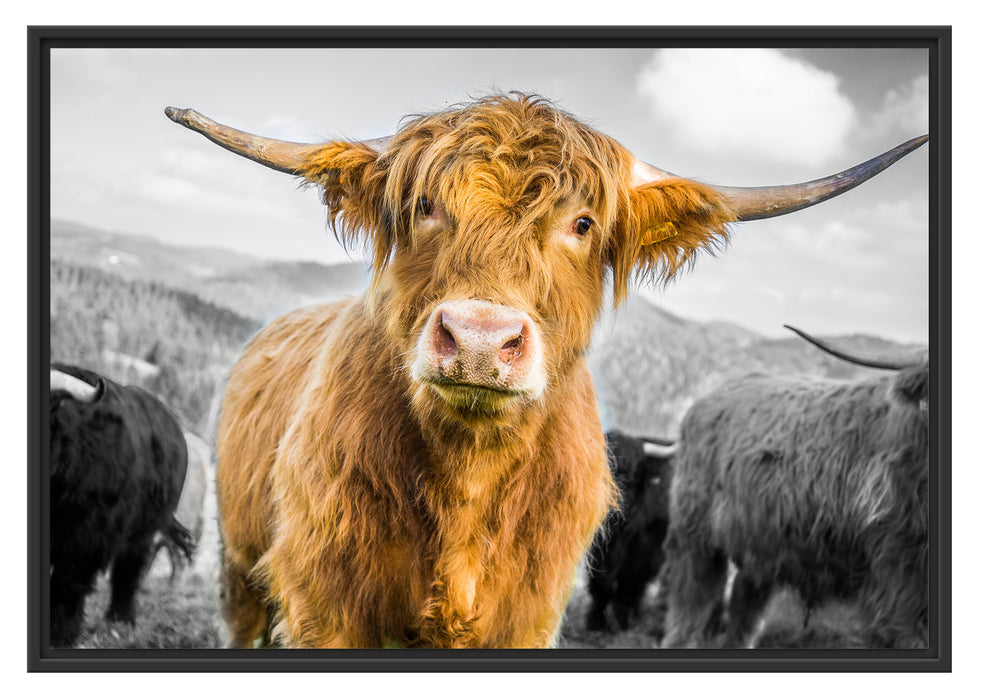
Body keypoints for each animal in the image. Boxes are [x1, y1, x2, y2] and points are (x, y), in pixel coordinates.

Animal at [48, 363, 191, 647]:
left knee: (129, 571)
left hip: (143, 532)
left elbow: (67, 582)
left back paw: (120, 620)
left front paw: (61, 633)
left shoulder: (84, 537)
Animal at [585, 431, 674, 633]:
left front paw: (620, 623)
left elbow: (630, 586)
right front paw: (594, 621)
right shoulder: (599, 550)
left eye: (631, 475)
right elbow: (600, 583)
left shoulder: (645, 553)